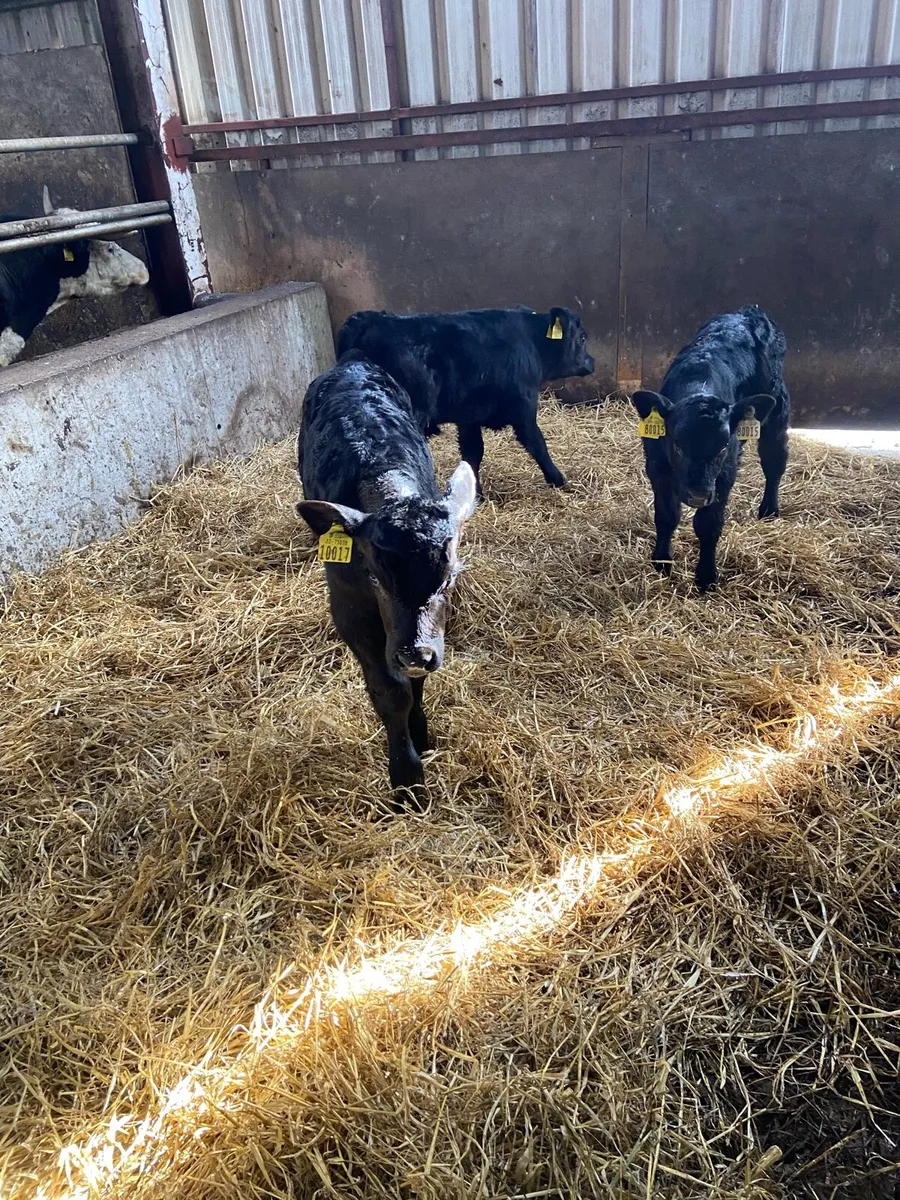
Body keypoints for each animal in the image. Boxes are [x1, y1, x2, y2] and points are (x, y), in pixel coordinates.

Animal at [296, 351, 478, 808]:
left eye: (450, 578)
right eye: (374, 576)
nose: (414, 653)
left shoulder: (429, 637)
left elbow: (416, 684)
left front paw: (420, 733)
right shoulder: (349, 608)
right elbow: (389, 690)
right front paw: (407, 776)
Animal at [336, 305, 595, 494]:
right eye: (582, 338)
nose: (591, 362)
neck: (531, 343)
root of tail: (371, 318)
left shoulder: (469, 416)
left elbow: (473, 452)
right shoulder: (524, 407)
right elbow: (537, 444)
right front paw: (558, 479)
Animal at [631, 305, 790, 592]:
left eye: (724, 445)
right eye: (677, 444)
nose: (697, 495)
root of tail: (750, 311)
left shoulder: (724, 474)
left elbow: (708, 524)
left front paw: (706, 576)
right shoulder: (657, 465)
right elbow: (666, 515)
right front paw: (662, 562)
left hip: (777, 411)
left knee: (775, 460)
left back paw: (769, 509)